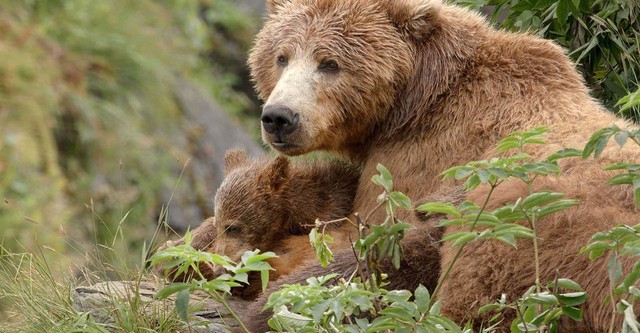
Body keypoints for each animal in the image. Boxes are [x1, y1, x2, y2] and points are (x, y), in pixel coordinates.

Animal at [242, 0, 636, 330]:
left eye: (329, 63)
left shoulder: (416, 162)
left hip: (525, 223)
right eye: (281, 56)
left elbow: (357, 236)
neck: (413, 101)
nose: (279, 117)